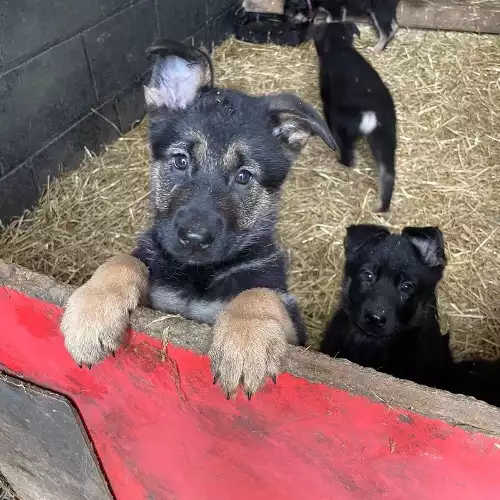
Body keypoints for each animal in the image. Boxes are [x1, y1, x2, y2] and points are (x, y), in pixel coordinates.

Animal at [60, 38, 338, 398]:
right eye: (181, 161)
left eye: (244, 177)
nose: (193, 239)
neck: (198, 273)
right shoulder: (160, 299)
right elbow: (123, 260)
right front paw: (91, 311)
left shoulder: (293, 326)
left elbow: (259, 293)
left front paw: (245, 342)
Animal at [310, 15, 396, 211]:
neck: (340, 46)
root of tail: (370, 113)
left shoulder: (327, 102)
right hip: (385, 137)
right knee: (388, 174)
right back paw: (382, 208)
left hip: (346, 129)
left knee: (348, 156)